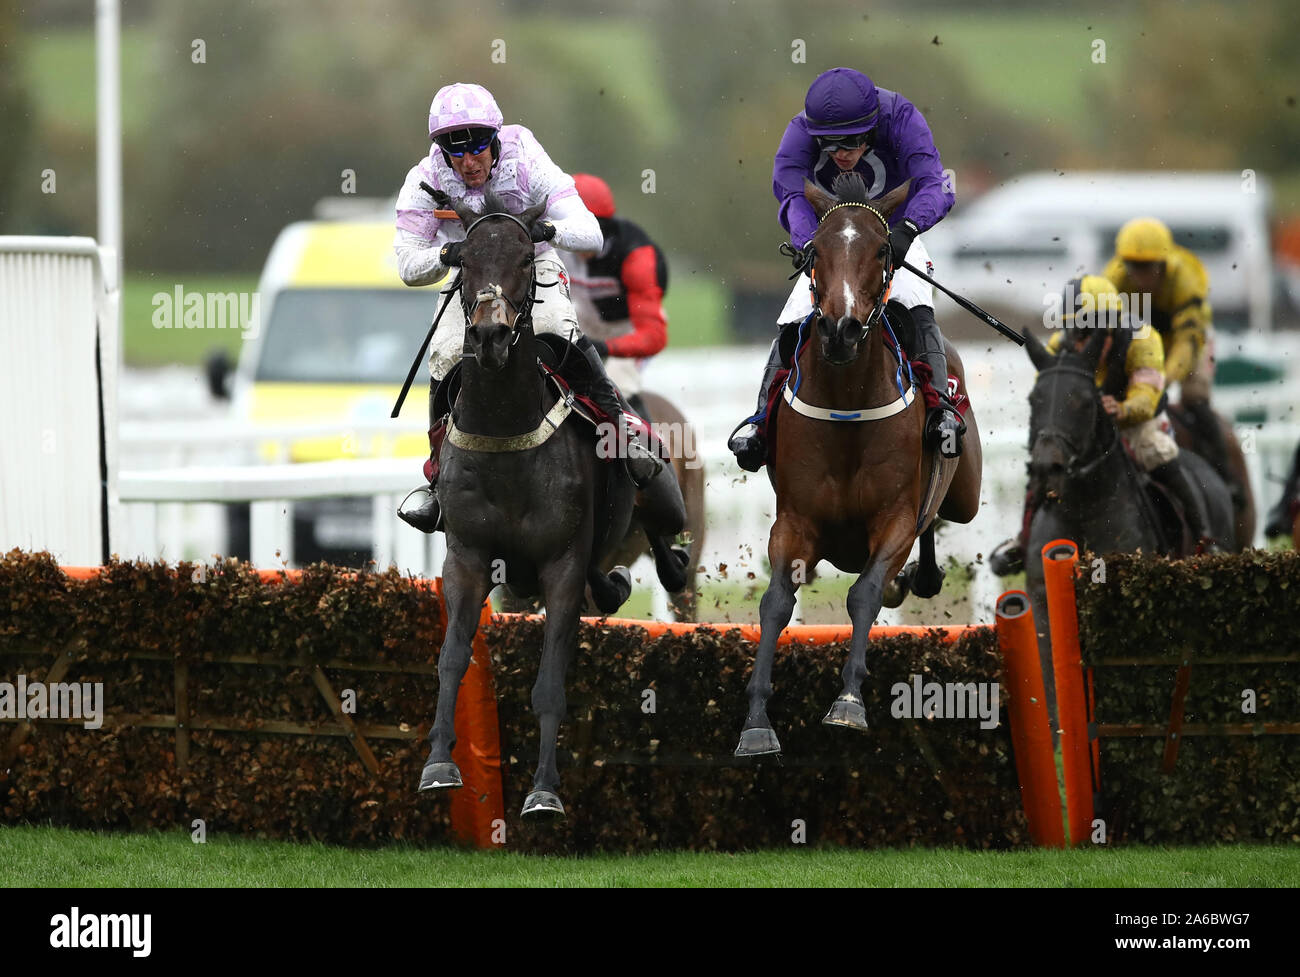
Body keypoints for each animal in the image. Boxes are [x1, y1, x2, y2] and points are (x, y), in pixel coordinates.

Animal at [418, 190, 686, 815]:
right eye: (463, 258)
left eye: (524, 257)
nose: (490, 338)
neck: (505, 433)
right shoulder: (468, 559)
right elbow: (451, 660)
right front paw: (438, 764)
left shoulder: (561, 567)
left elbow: (549, 685)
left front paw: (543, 791)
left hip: (664, 498)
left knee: (667, 545)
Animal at [738, 175, 977, 753]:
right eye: (815, 252)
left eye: (883, 250)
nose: (840, 329)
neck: (847, 403)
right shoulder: (794, 523)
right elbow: (775, 603)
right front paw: (756, 720)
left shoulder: (893, 520)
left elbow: (864, 593)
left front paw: (848, 700)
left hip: (967, 495)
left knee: (936, 522)